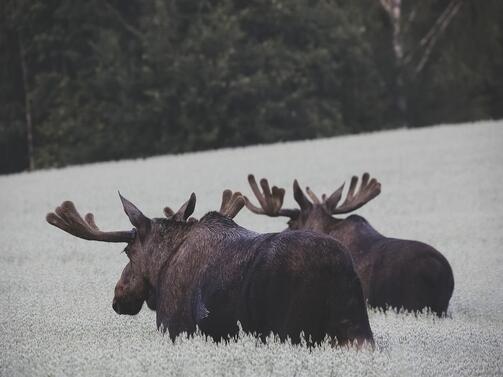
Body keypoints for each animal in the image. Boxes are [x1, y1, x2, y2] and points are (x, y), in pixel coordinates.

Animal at [47, 189, 376, 346]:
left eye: (127, 251)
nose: (119, 296)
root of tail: (339, 272)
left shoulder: (174, 328)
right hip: (357, 331)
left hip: (292, 330)